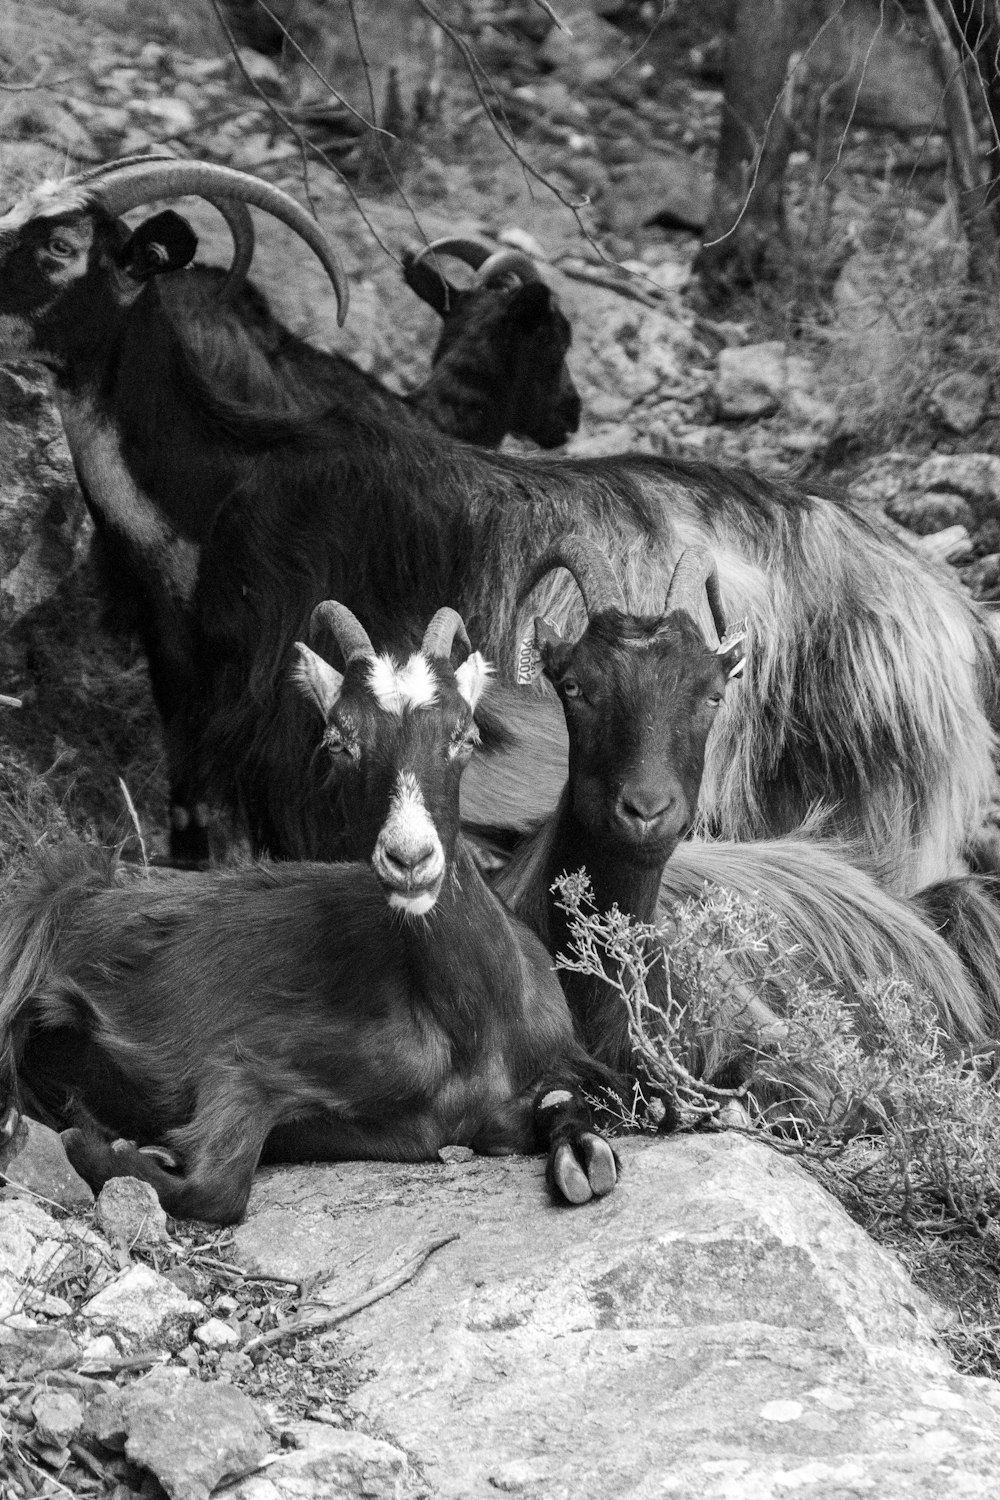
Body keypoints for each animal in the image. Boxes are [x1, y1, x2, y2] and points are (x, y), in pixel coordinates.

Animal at [0, 603, 617, 1224]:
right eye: (339, 741)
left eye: (465, 736)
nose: (410, 859)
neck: (469, 1029)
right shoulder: (243, 1067)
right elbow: (219, 1185)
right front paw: (99, 1145)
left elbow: (572, 1099)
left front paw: (583, 1155)